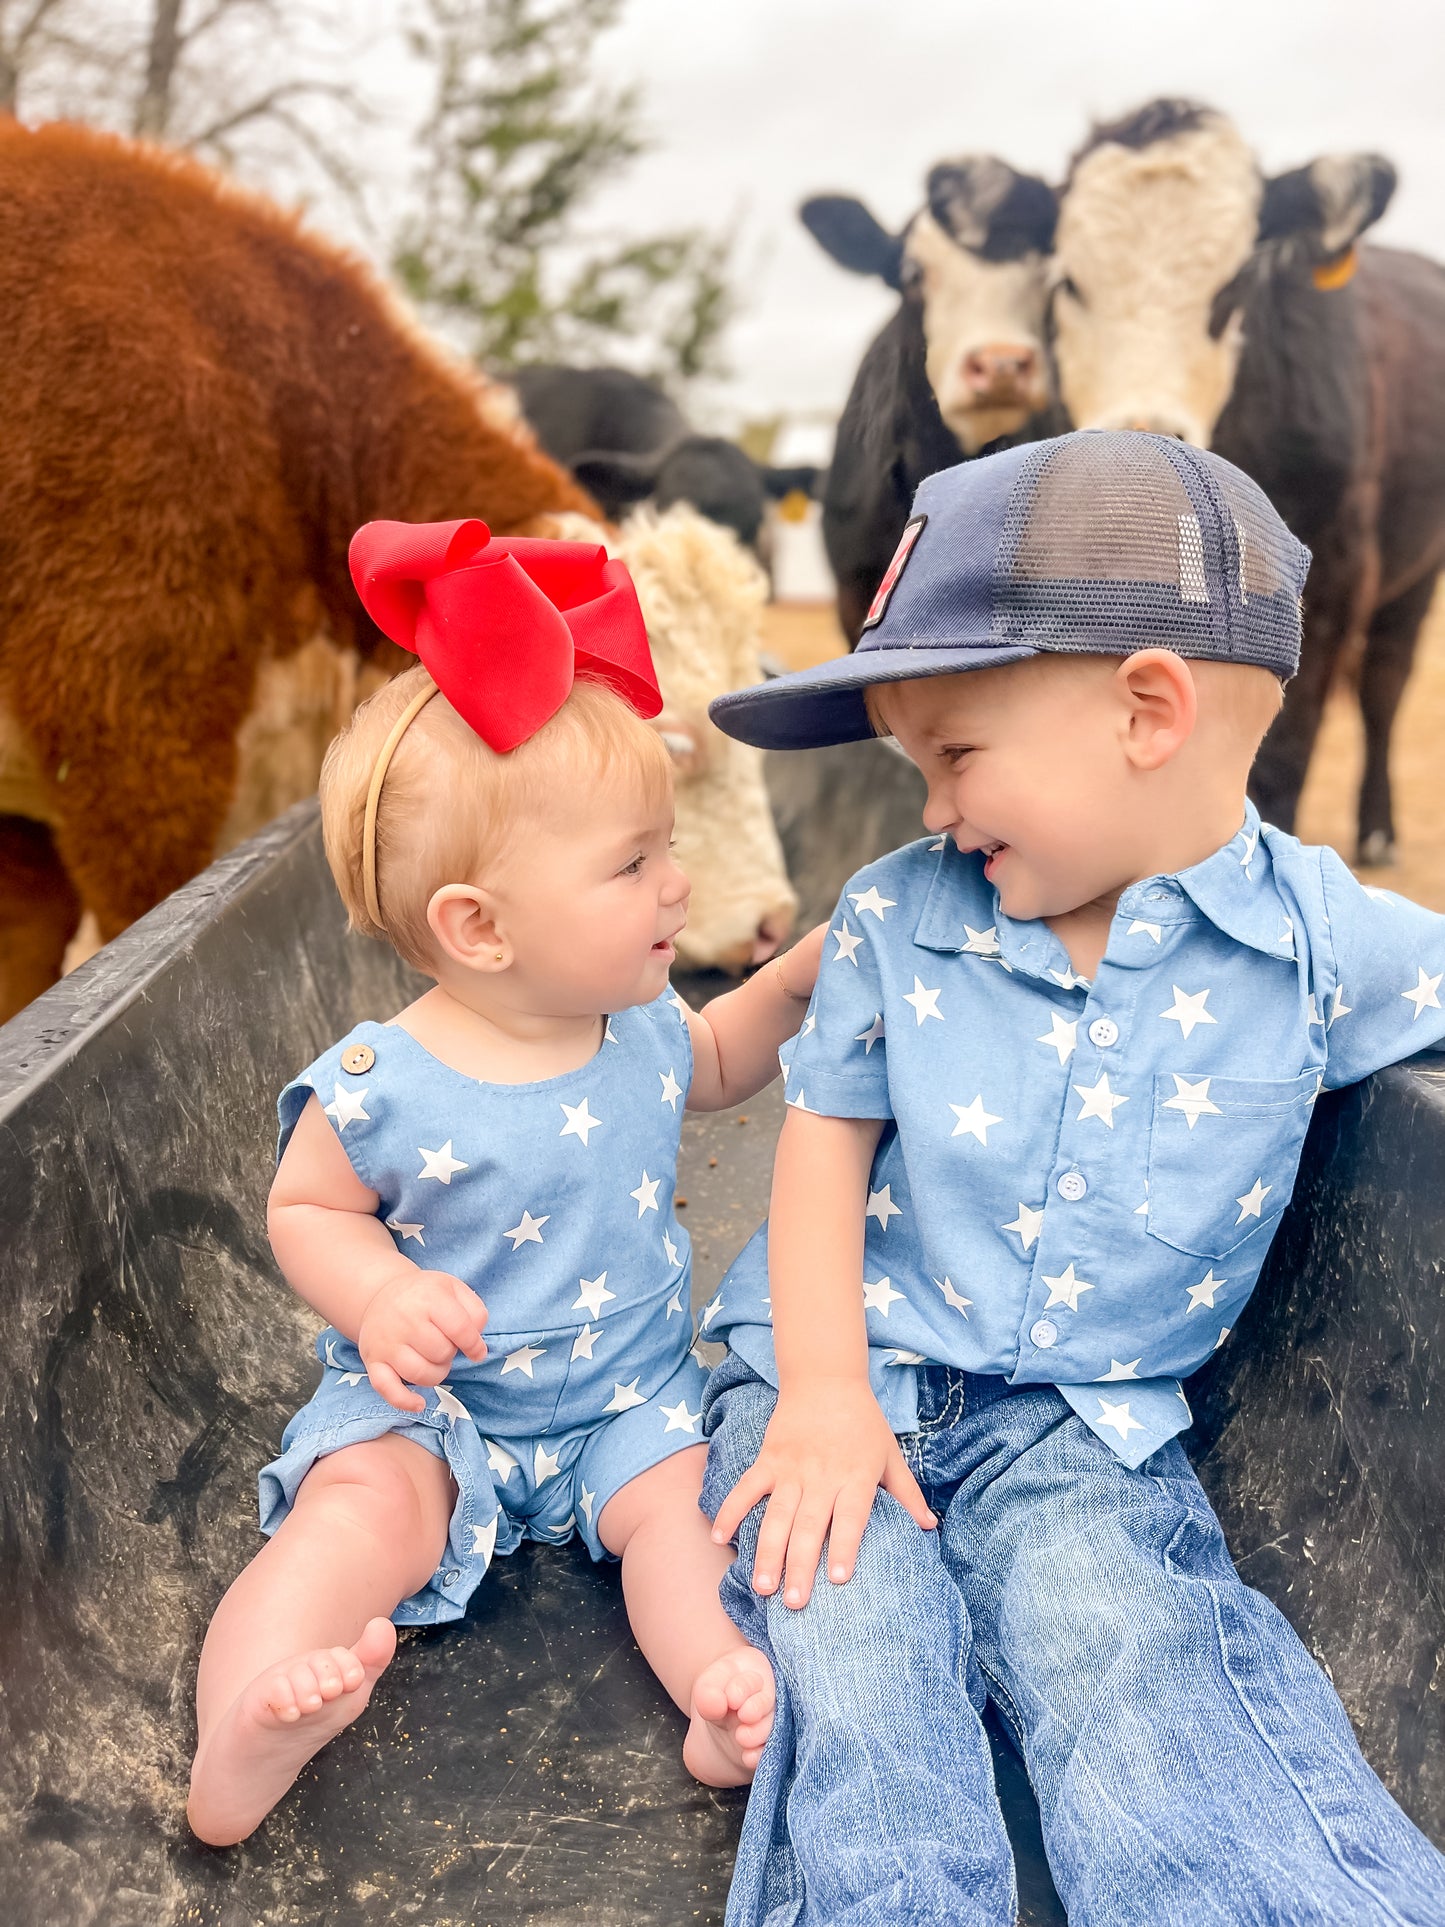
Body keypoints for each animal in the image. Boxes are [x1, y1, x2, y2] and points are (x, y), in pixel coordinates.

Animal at [1055, 95, 1445, 867]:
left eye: (1234, 285)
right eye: (1068, 285)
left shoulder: (1336, 575)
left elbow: (1287, 743)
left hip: (1416, 571)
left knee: (1383, 687)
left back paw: (1378, 831)